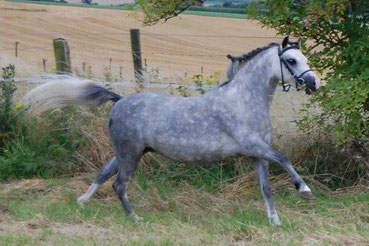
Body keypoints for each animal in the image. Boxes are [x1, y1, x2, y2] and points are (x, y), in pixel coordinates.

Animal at [25, 35, 320, 226]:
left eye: (304, 58)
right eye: (291, 60)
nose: (314, 83)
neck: (243, 100)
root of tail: (119, 100)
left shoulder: (258, 155)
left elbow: (266, 188)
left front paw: (275, 221)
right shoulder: (255, 146)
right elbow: (284, 158)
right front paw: (304, 190)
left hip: (130, 152)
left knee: (104, 172)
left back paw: (83, 201)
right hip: (130, 153)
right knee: (119, 184)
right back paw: (135, 218)